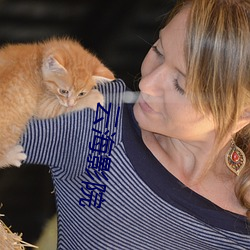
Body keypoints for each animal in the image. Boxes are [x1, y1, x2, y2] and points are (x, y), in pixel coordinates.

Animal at [0, 37, 114, 169]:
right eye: (63, 91)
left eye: (81, 94)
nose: (71, 103)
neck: (39, 60)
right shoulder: (43, 104)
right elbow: (59, 107)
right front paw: (94, 98)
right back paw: (13, 156)